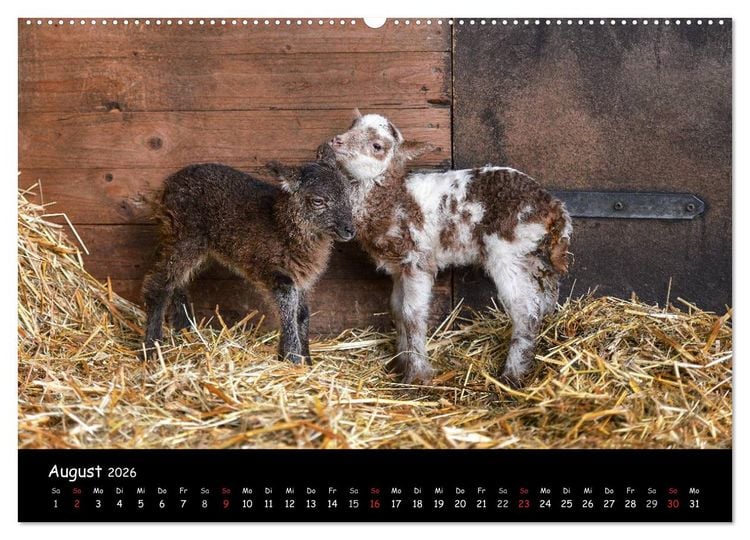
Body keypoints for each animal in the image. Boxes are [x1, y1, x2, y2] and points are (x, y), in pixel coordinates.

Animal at [142, 145, 356, 364]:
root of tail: (168, 184)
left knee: (178, 281)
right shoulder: (276, 273)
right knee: (157, 285)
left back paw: (183, 327)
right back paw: (152, 348)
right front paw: (293, 358)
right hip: (186, 236)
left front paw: (306, 359)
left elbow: (302, 314)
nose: (350, 230)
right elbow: (288, 313)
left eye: (348, 195)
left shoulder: (302, 278)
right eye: (318, 201)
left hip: (200, 248)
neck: (282, 225)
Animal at [329, 110, 572, 386]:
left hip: (506, 252)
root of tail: (553, 205)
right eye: (352, 126)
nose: (336, 140)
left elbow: (412, 314)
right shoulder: (399, 268)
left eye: (377, 146)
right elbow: (397, 309)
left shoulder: (417, 260)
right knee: (547, 291)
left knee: (526, 309)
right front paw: (401, 363)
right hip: (533, 253)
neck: (393, 199)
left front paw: (418, 375)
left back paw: (512, 374)